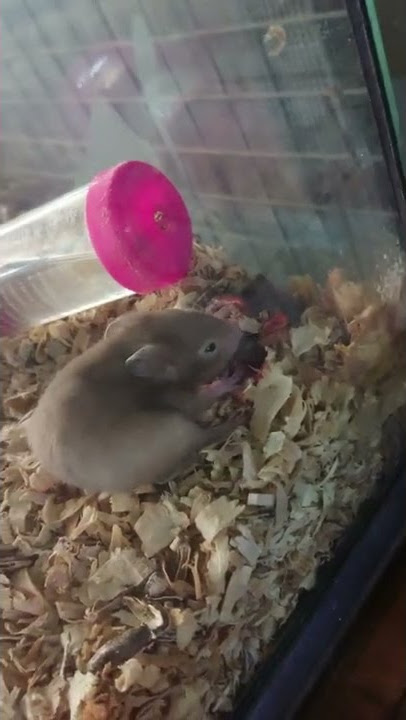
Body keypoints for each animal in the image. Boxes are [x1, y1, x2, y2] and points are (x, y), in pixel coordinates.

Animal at [26, 309, 258, 493]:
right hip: (176, 428)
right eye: (210, 347)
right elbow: (204, 398)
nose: (238, 331)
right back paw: (238, 419)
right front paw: (231, 378)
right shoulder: (177, 397)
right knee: (204, 437)